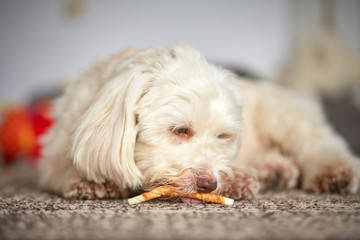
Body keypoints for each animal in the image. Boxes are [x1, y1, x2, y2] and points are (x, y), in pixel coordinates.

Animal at [38, 44, 358, 201]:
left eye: (223, 137)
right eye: (180, 130)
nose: (209, 183)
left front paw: (237, 180)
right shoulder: (55, 151)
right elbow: (63, 168)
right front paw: (89, 181)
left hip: (283, 117)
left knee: (319, 145)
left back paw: (335, 174)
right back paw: (275, 171)